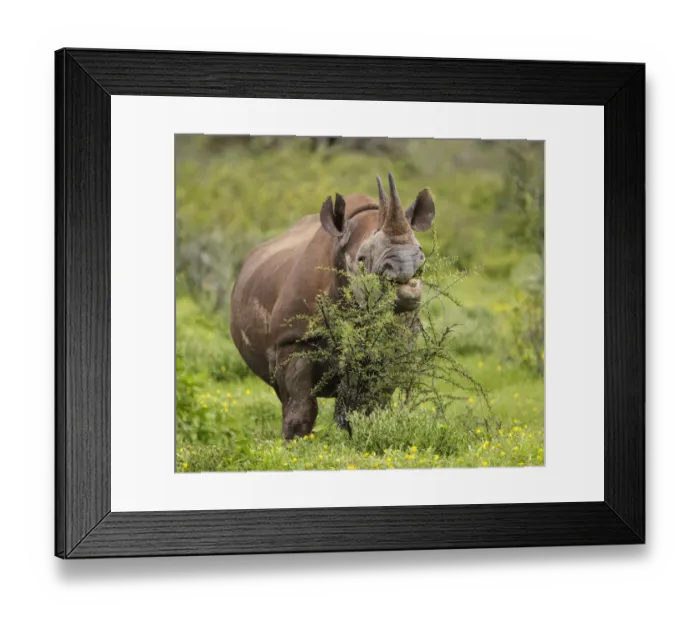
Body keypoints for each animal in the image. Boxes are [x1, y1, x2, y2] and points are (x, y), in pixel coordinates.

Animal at [230, 173, 436, 439]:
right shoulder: (292, 338)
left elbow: (368, 406)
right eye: (362, 260)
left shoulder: (393, 345)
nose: (406, 267)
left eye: (421, 253)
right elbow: (301, 407)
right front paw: (294, 443)